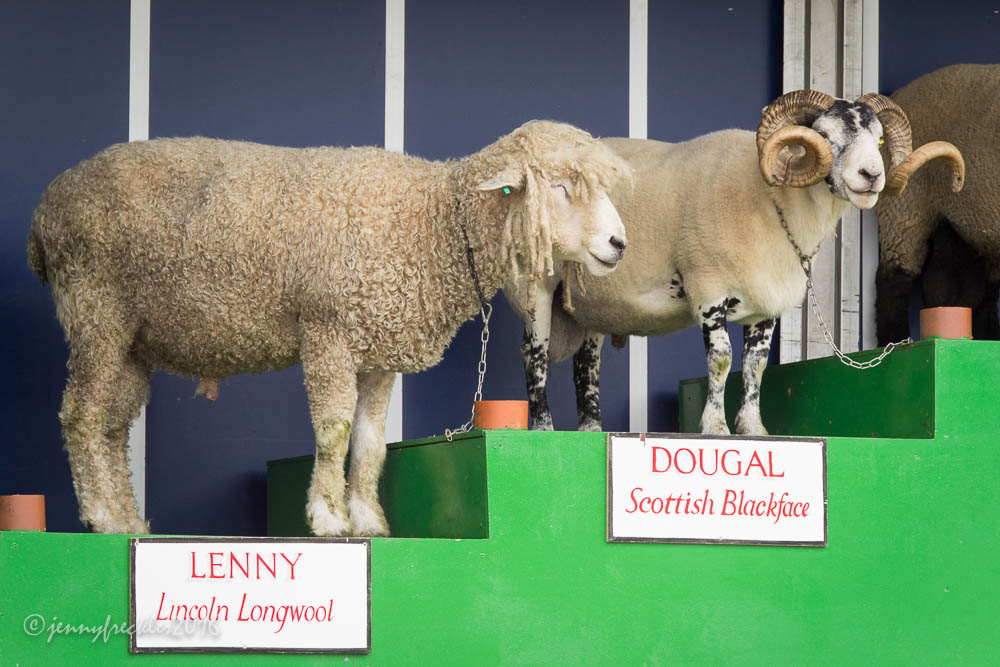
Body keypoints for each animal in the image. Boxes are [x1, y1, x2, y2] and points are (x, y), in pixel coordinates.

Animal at [27, 120, 632, 536]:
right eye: (559, 187)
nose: (619, 244)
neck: (436, 220)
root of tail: (44, 213)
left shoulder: (379, 349)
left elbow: (369, 442)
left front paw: (368, 517)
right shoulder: (328, 330)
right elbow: (334, 430)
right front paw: (327, 516)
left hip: (132, 337)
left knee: (112, 427)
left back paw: (128, 520)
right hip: (95, 307)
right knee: (80, 414)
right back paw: (101, 516)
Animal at [507, 91, 963, 435]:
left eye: (880, 140)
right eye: (824, 135)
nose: (871, 176)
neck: (772, 201)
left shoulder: (768, 305)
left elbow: (756, 365)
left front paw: (753, 428)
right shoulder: (707, 287)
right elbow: (722, 358)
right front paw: (715, 427)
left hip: (592, 304)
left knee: (586, 363)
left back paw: (590, 430)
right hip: (534, 283)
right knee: (534, 352)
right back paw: (543, 429)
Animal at [875, 64, 1000, 345]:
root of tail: (899, 93)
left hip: (960, 223)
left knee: (957, 289)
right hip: (905, 203)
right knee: (894, 279)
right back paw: (893, 344)